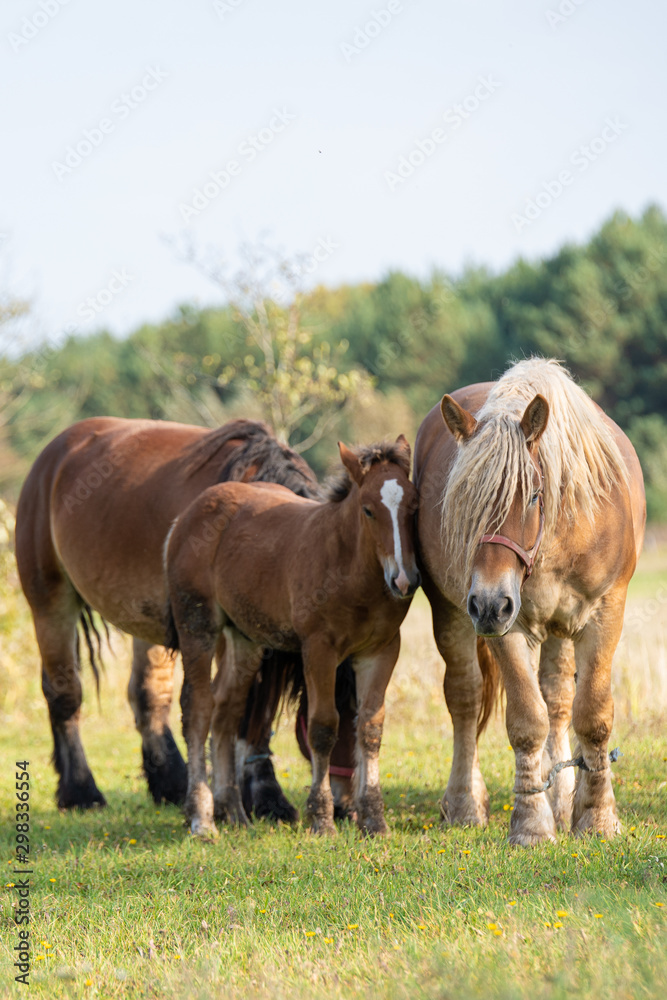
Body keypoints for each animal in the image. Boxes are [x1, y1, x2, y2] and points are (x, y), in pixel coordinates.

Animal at [15, 416, 356, 818]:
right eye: (342, 714)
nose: (347, 806)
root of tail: (54, 453)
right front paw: (254, 795)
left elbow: (254, 712)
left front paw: (257, 795)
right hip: (51, 603)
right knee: (64, 693)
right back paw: (81, 791)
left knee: (147, 696)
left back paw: (172, 783)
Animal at [164, 437, 421, 836]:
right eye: (368, 510)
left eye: (414, 506)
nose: (404, 580)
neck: (348, 567)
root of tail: (186, 516)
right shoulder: (318, 649)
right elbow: (323, 727)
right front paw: (322, 818)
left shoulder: (381, 650)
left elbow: (371, 728)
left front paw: (375, 820)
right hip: (197, 623)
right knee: (198, 708)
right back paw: (202, 819)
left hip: (244, 639)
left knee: (226, 709)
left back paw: (234, 811)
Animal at [414, 358, 645, 845]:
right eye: (461, 501)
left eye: (534, 495)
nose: (486, 602)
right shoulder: (507, 625)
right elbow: (526, 721)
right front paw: (531, 824)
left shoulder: (605, 611)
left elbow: (591, 714)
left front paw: (595, 816)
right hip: (451, 613)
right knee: (465, 699)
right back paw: (465, 803)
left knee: (558, 698)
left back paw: (561, 799)